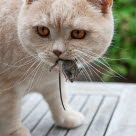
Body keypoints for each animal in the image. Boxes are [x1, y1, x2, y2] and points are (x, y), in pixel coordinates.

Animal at [0, 0, 113, 135]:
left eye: (78, 33)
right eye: (42, 30)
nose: (57, 51)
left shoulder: (52, 83)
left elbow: (59, 99)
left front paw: (66, 117)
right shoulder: (7, 89)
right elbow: (10, 112)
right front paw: (15, 132)